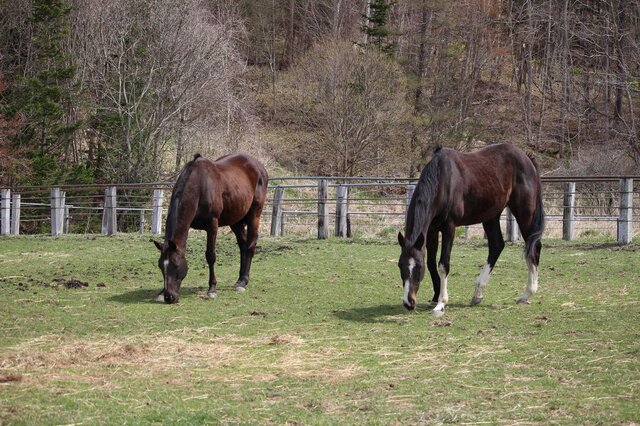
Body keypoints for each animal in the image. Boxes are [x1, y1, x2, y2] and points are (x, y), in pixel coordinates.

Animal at [153, 153, 268, 304]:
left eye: (176, 265)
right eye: (161, 266)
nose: (169, 297)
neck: (200, 186)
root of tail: (259, 166)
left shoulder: (212, 225)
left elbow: (211, 256)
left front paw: (212, 288)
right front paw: (160, 292)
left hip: (254, 215)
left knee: (250, 246)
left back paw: (243, 282)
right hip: (235, 221)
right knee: (243, 246)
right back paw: (239, 279)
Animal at [397, 143, 544, 317]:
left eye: (418, 268)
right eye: (400, 265)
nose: (409, 302)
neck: (443, 182)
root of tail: (528, 159)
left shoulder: (449, 228)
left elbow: (443, 265)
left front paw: (441, 303)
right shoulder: (431, 231)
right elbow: (432, 263)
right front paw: (435, 297)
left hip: (524, 213)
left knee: (534, 247)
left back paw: (527, 294)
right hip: (491, 216)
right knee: (496, 246)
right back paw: (477, 294)